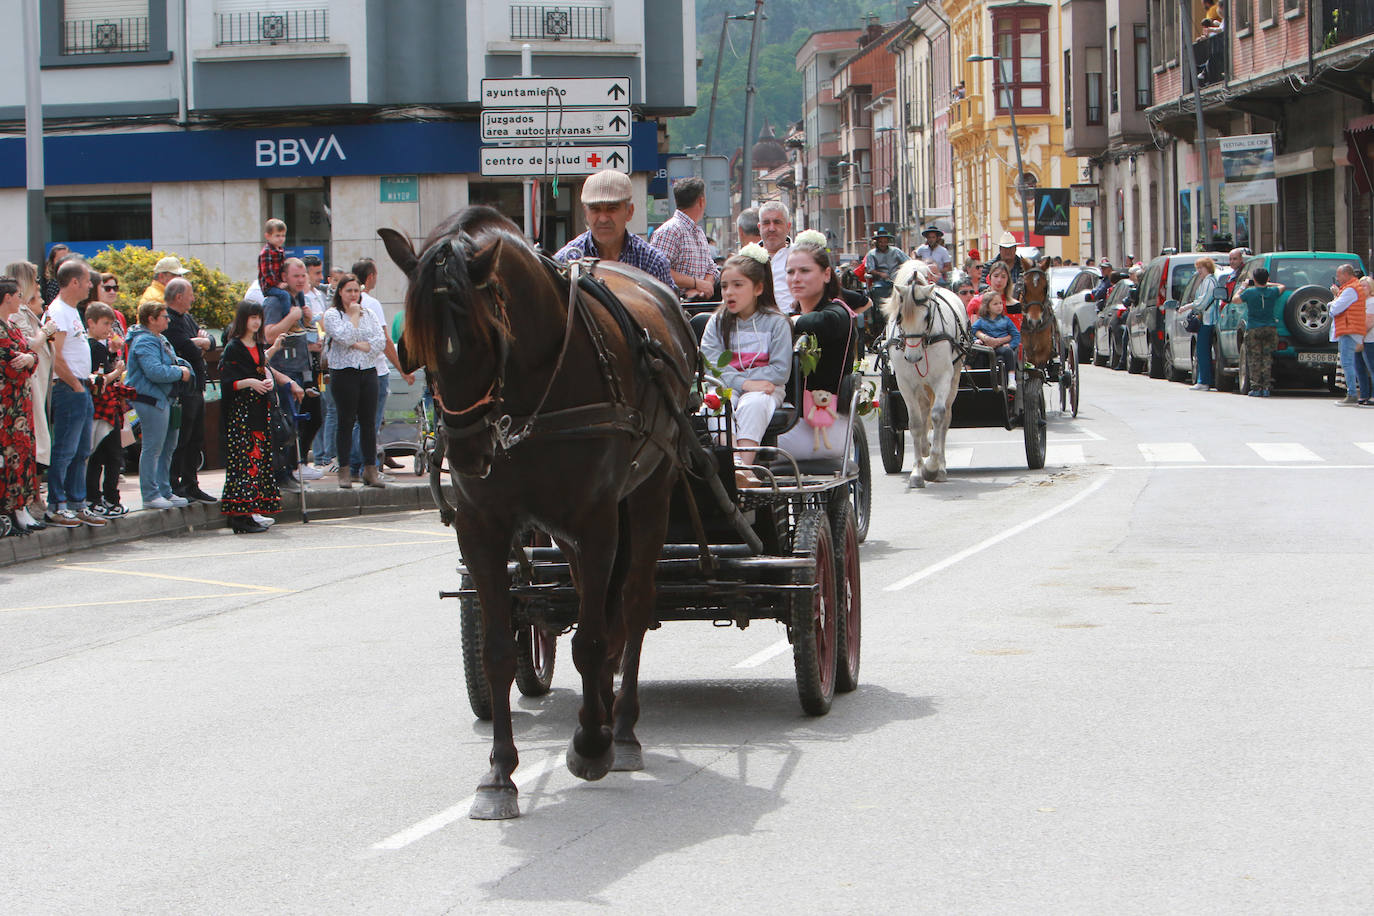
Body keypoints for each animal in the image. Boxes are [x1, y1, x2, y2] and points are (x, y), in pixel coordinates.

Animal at [379, 210, 692, 823]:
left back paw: (620, 730)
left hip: (651, 492)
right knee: (598, 607)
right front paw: (499, 773)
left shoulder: (596, 519)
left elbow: (590, 641)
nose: (467, 453)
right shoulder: (482, 528)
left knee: (633, 604)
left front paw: (590, 745)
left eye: (486, 337)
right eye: (413, 347)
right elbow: (500, 650)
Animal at [879, 259, 967, 486]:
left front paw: (932, 466)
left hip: (954, 377)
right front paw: (917, 472)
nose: (912, 357)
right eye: (899, 317)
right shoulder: (905, 383)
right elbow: (916, 423)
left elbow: (938, 416)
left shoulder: (943, 378)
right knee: (925, 408)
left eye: (927, 316)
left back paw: (941, 467)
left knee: (944, 418)